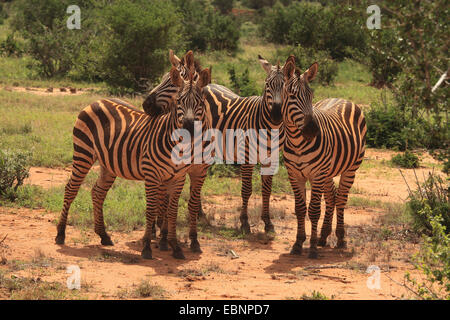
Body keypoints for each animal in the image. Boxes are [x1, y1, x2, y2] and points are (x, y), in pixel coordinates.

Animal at [54, 50, 213, 260]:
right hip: (83, 153)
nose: (146, 105)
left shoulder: (184, 176)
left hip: (108, 163)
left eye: (200, 102)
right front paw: (151, 245)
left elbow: (174, 210)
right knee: (71, 189)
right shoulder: (154, 175)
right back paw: (61, 233)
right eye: (178, 100)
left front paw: (176, 245)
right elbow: (153, 208)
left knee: (98, 192)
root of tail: (98, 100)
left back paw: (103, 235)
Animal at [146, 55, 296, 252]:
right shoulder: (246, 157)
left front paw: (268, 223)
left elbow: (267, 191)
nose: (277, 114)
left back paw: (199, 215)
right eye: (267, 85)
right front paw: (245, 223)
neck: (269, 126)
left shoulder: (270, 160)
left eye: (286, 86)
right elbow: (247, 190)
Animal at [284, 58, 368, 258]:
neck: (297, 142)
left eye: (311, 95)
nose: (312, 130)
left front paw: (313, 248)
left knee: (341, 198)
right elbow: (300, 209)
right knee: (332, 197)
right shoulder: (294, 175)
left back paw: (341, 239)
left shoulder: (317, 174)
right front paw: (298, 243)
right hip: (328, 171)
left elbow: (314, 210)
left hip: (350, 169)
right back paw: (324, 235)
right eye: (292, 96)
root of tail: (342, 98)